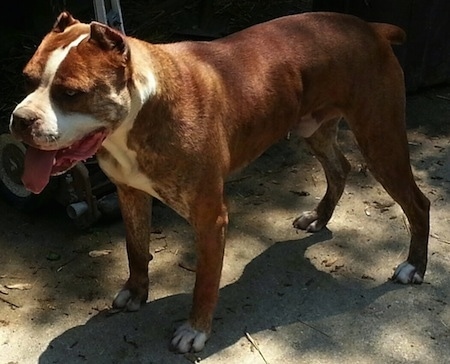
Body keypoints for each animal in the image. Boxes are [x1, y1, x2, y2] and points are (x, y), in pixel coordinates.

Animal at [9, 11, 428, 352]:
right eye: (27, 80)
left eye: (70, 93)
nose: (19, 120)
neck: (141, 109)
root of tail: (370, 27)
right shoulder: (130, 194)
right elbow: (135, 248)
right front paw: (136, 291)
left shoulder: (210, 219)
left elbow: (204, 282)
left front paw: (195, 330)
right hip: (316, 129)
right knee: (339, 168)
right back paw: (319, 217)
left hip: (381, 140)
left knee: (417, 202)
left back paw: (414, 267)